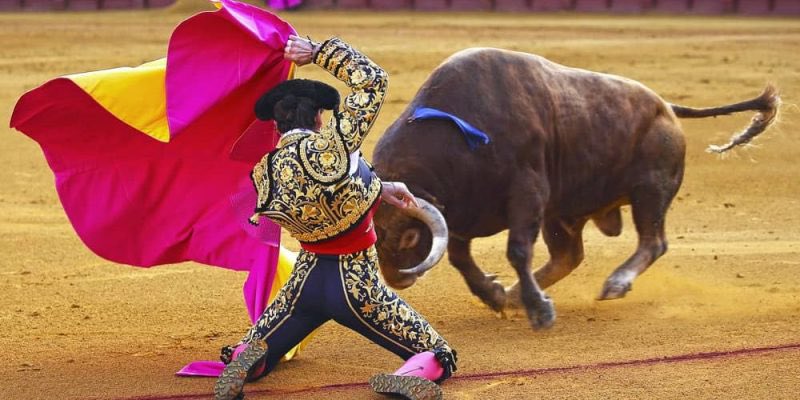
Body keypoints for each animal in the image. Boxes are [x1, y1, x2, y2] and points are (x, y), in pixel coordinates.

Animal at [372, 47, 780, 328]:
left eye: (409, 237)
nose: (397, 279)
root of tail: (666, 106)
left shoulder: (528, 193)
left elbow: (517, 250)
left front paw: (539, 311)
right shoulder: (462, 213)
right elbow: (460, 257)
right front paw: (497, 295)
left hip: (651, 191)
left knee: (653, 241)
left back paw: (614, 284)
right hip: (564, 213)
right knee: (569, 255)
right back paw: (517, 295)